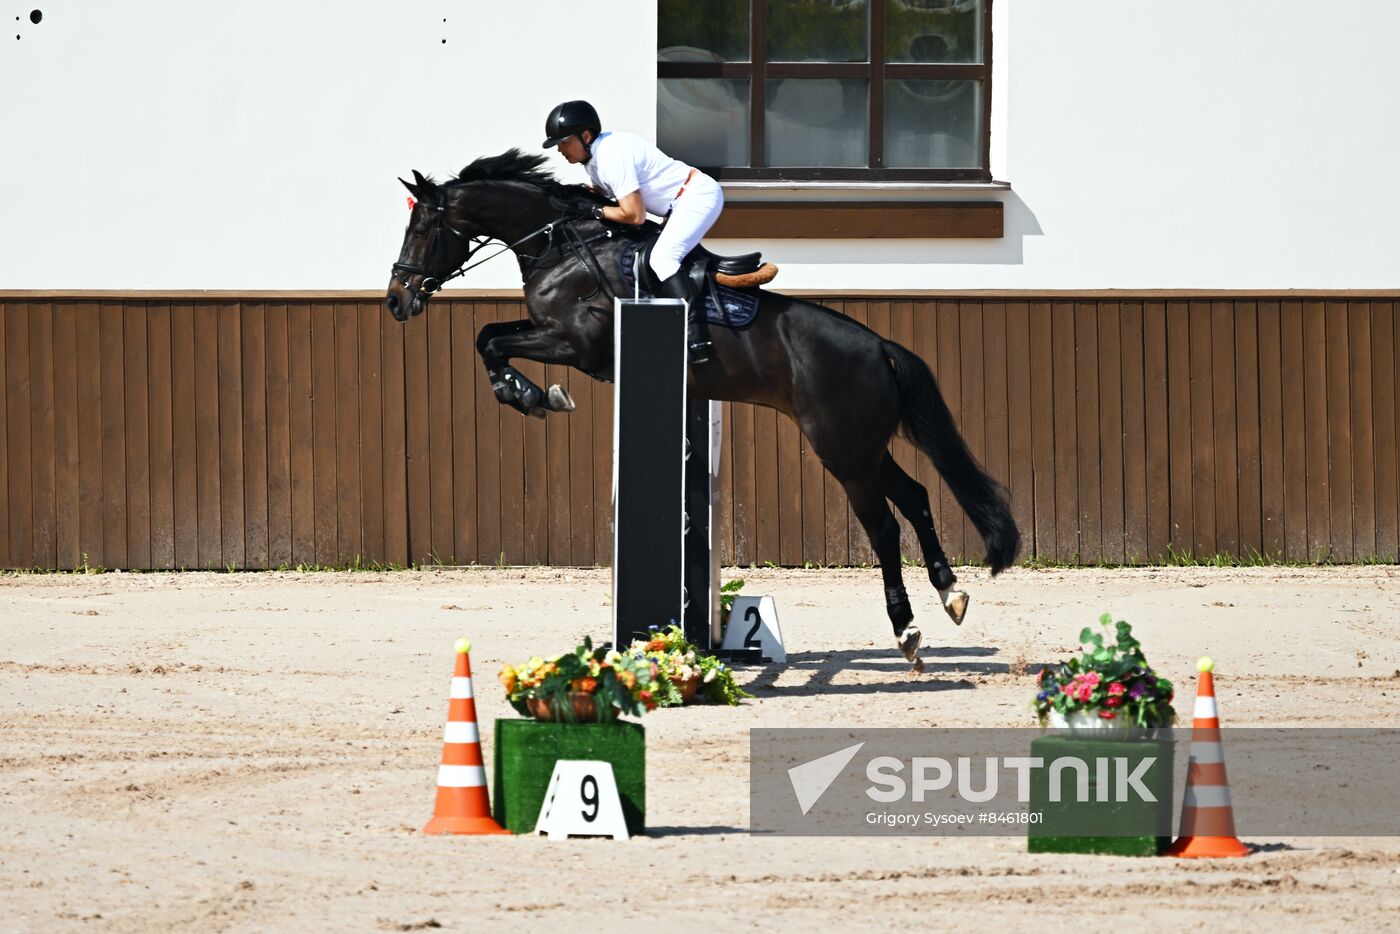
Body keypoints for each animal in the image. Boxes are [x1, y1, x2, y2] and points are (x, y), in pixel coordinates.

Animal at [383, 149, 1019, 669]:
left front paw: (533, 396)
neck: (561, 248)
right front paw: (527, 394)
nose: (396, 300)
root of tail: (879, 346)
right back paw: (951, 593)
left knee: (884, 525)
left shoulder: (575, 343)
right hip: (863, 446)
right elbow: (489, 335)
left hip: (841, 449)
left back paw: (907, 630)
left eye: (423, 228)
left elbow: (492, 341)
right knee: (915, 497)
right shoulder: (549, 334)